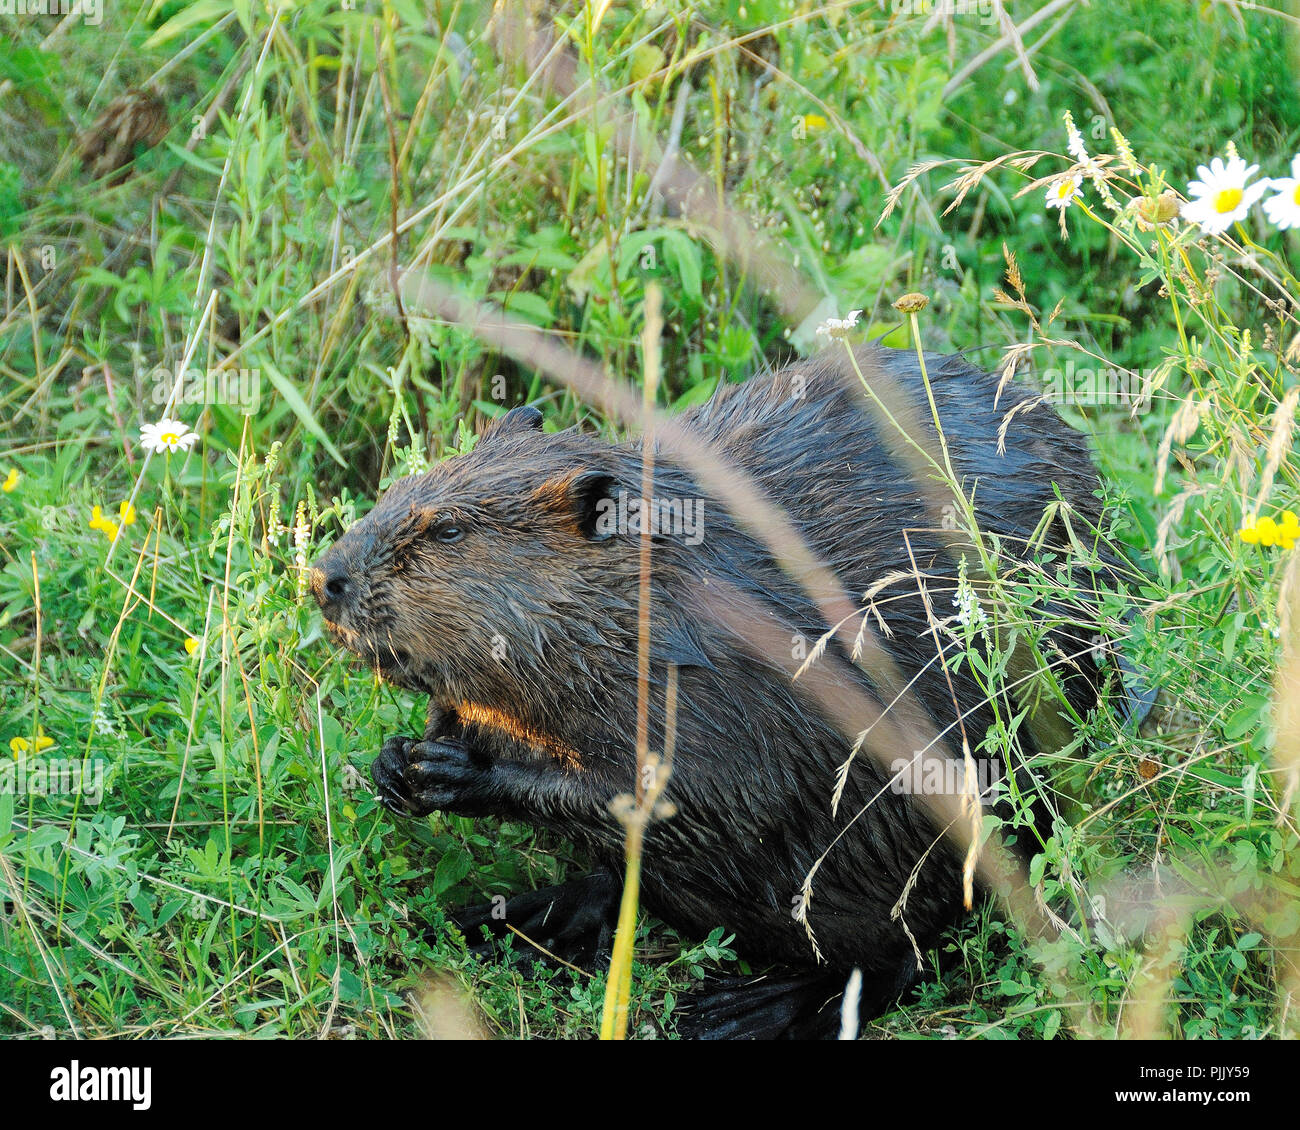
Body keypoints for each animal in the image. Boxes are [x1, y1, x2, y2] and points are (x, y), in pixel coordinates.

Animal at [309, 343, 1123, 1040]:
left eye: (446, 531)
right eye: (400, 488)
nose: (324, 577)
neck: (671, 587)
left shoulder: (739, 681)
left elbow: (700, 795)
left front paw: (458, 772)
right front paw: (397, 762)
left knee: (908, 944)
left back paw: (747, 1007)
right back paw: (502, 919)